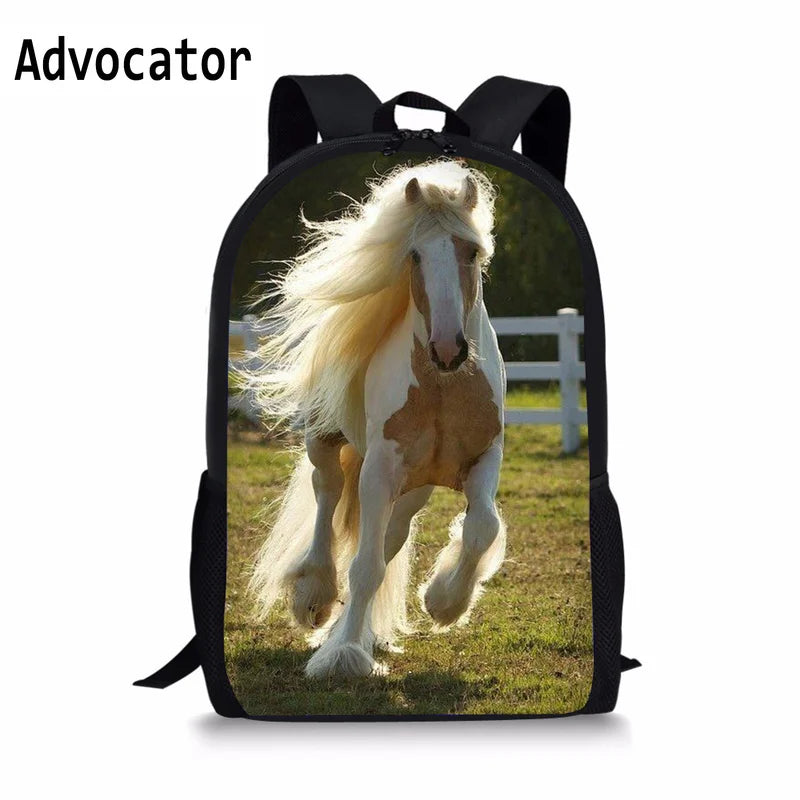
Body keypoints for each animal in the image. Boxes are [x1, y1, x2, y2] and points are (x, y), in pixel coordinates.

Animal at [245, 159, 507, 678]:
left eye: (471, 252)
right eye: (415, 255)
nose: (448, 349)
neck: (443, 387)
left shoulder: (485, 456)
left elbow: (482, 527)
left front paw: (443, 602)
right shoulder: (381, 467)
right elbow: (364, 567)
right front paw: (343, 655)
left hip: (412, 489)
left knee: (389, 537)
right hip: (327, 443)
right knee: (327, 495)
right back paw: (315, 597)